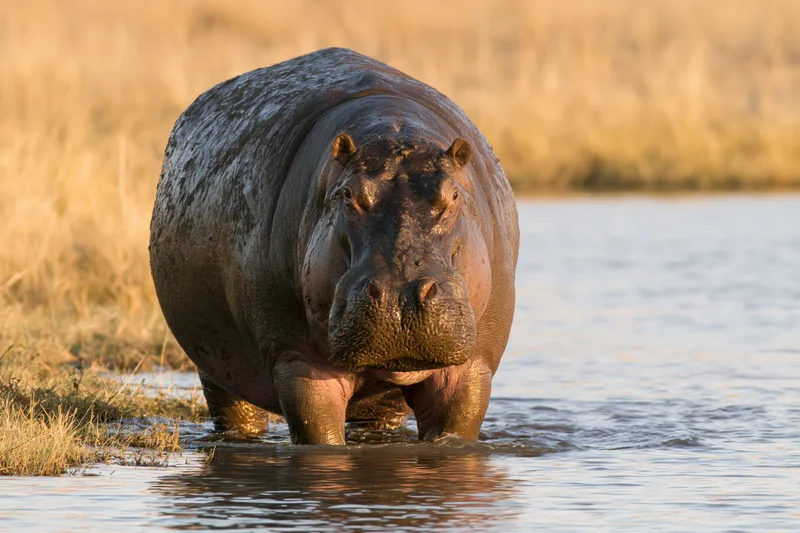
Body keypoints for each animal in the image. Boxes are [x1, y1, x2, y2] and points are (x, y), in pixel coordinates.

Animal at [149, 47, 519, 445]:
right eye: (348, 194)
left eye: (453, 194)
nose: (400, 296)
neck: (394, 128)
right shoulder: (299, 362)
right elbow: (318, 429)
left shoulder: (471, 368)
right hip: (217, 366)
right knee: (232, 406)